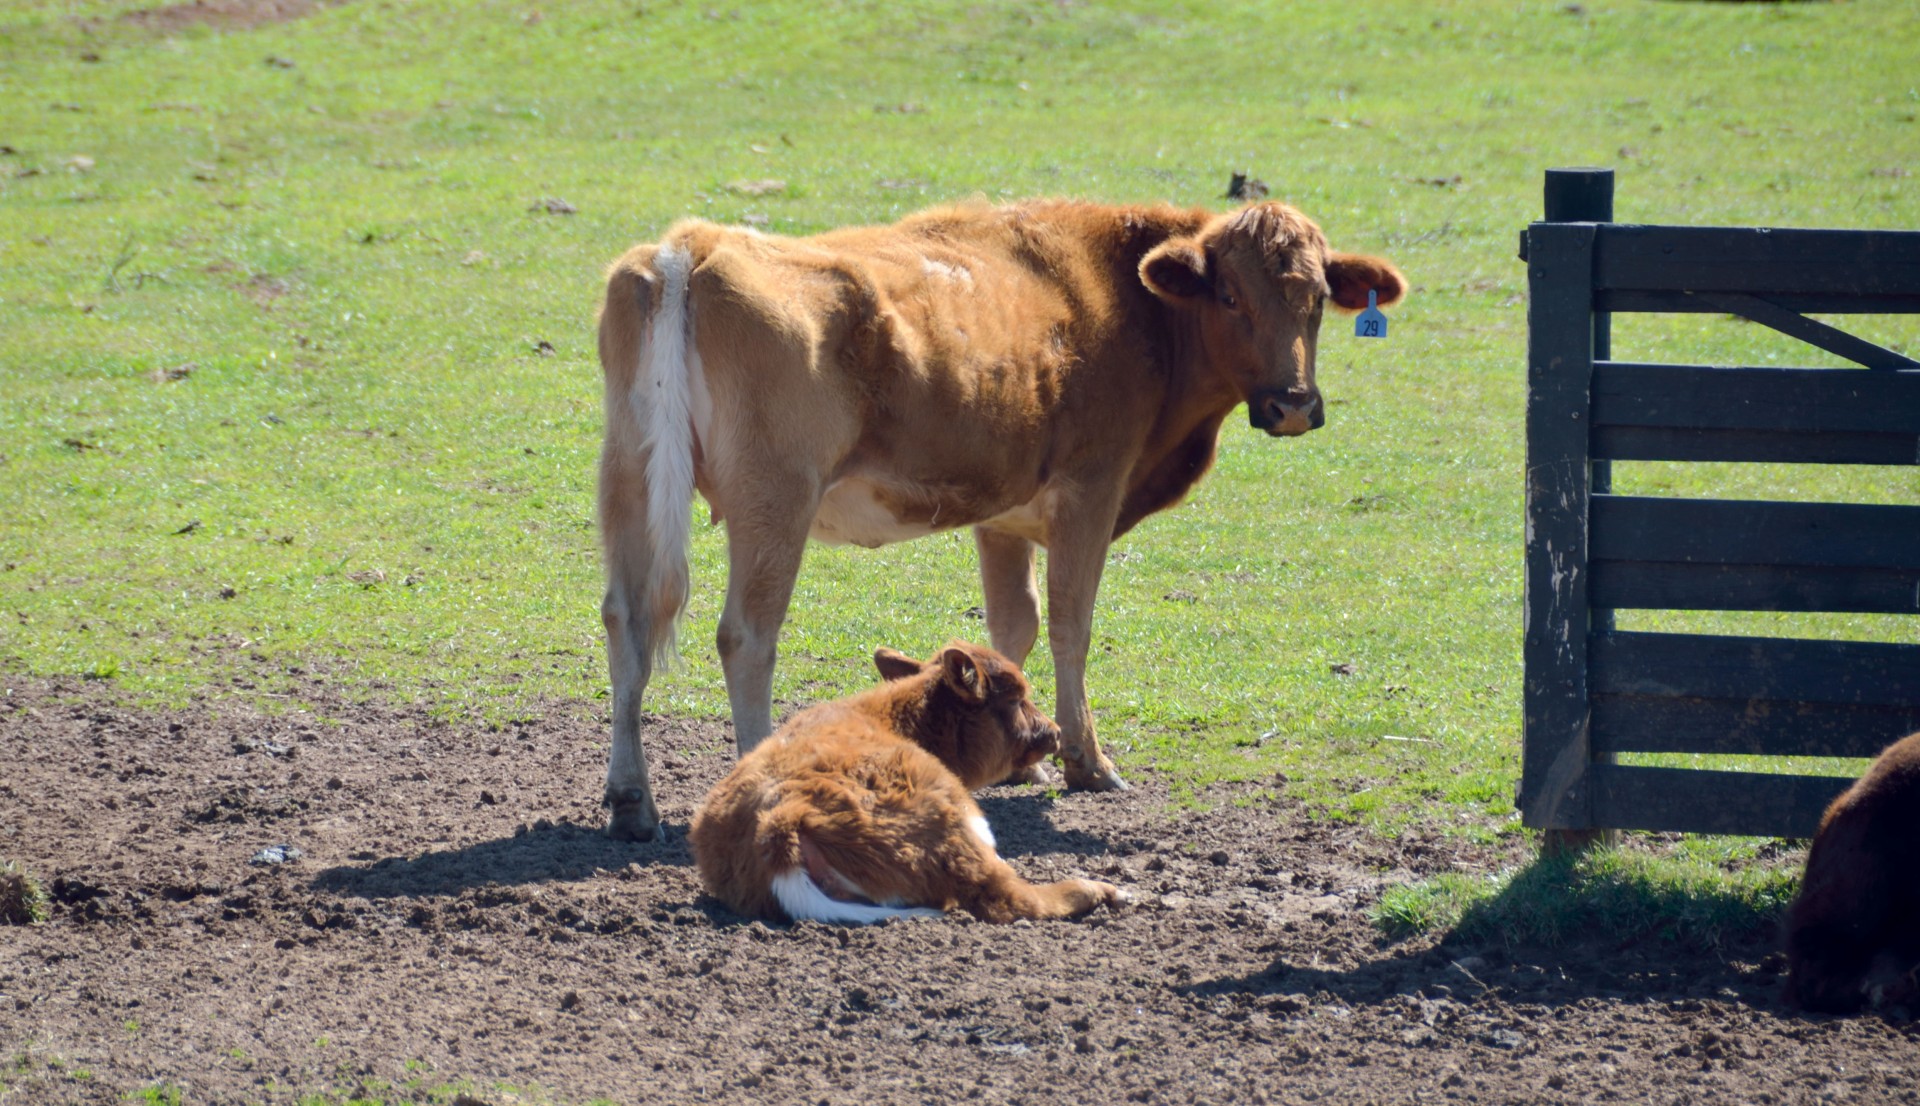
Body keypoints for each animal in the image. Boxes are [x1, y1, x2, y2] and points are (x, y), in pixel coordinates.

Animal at [599, 198, 1413, 837]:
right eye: (1231, 297)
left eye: (1316, 301)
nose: (1293, 404)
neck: (1126, 299)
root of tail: (696, 243)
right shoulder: (1091, 489)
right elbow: (1070, 622)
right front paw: (1087, 761)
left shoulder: (1000, 513)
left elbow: (1011, 622)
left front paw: (1018, 756)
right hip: (776, 499)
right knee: (747, 636)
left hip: (629, 481)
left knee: (627, 620)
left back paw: (632, 801)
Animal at [687, 637, 1121, 925]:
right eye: (1016, 699)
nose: (1055, 732)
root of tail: (780, 823)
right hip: (953, 821)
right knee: (1008, 896)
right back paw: (1105, 889)